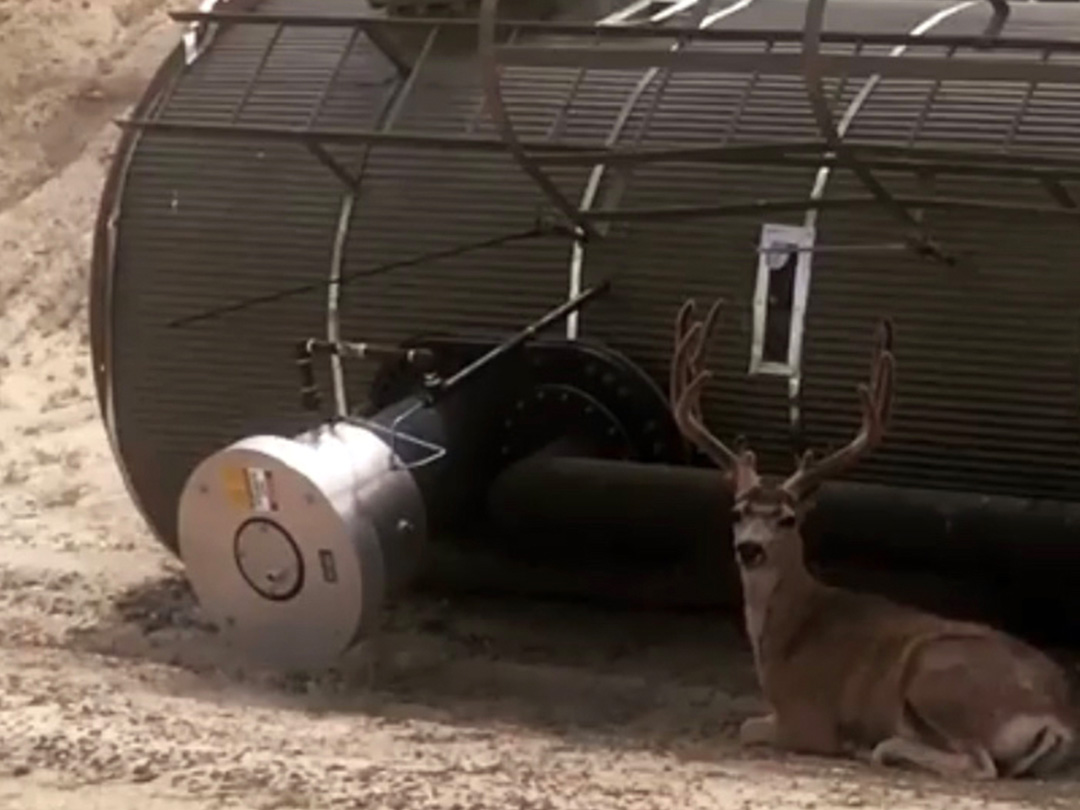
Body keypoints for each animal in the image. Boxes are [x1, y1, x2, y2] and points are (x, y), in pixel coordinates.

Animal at [669, 298, 1077, 780]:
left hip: (938, 676)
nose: (749, 549)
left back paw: (877, 747)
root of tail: (1059, 721)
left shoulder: (805, 718)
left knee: (978, 763)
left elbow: (748, 727)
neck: (788, 633)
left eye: (788, 519)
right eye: (737, 513)